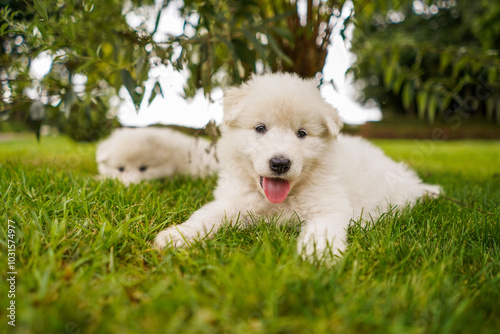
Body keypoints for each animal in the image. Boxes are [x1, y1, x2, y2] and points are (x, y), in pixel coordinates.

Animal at [154, 73, 440, 260]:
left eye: (302, 133)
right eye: (260, 128)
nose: (280, 163)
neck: (281, 199)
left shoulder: (328, 206)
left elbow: (321, 231)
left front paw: (317, 256)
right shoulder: (232, 202)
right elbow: (207, 215)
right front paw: (178, 235)